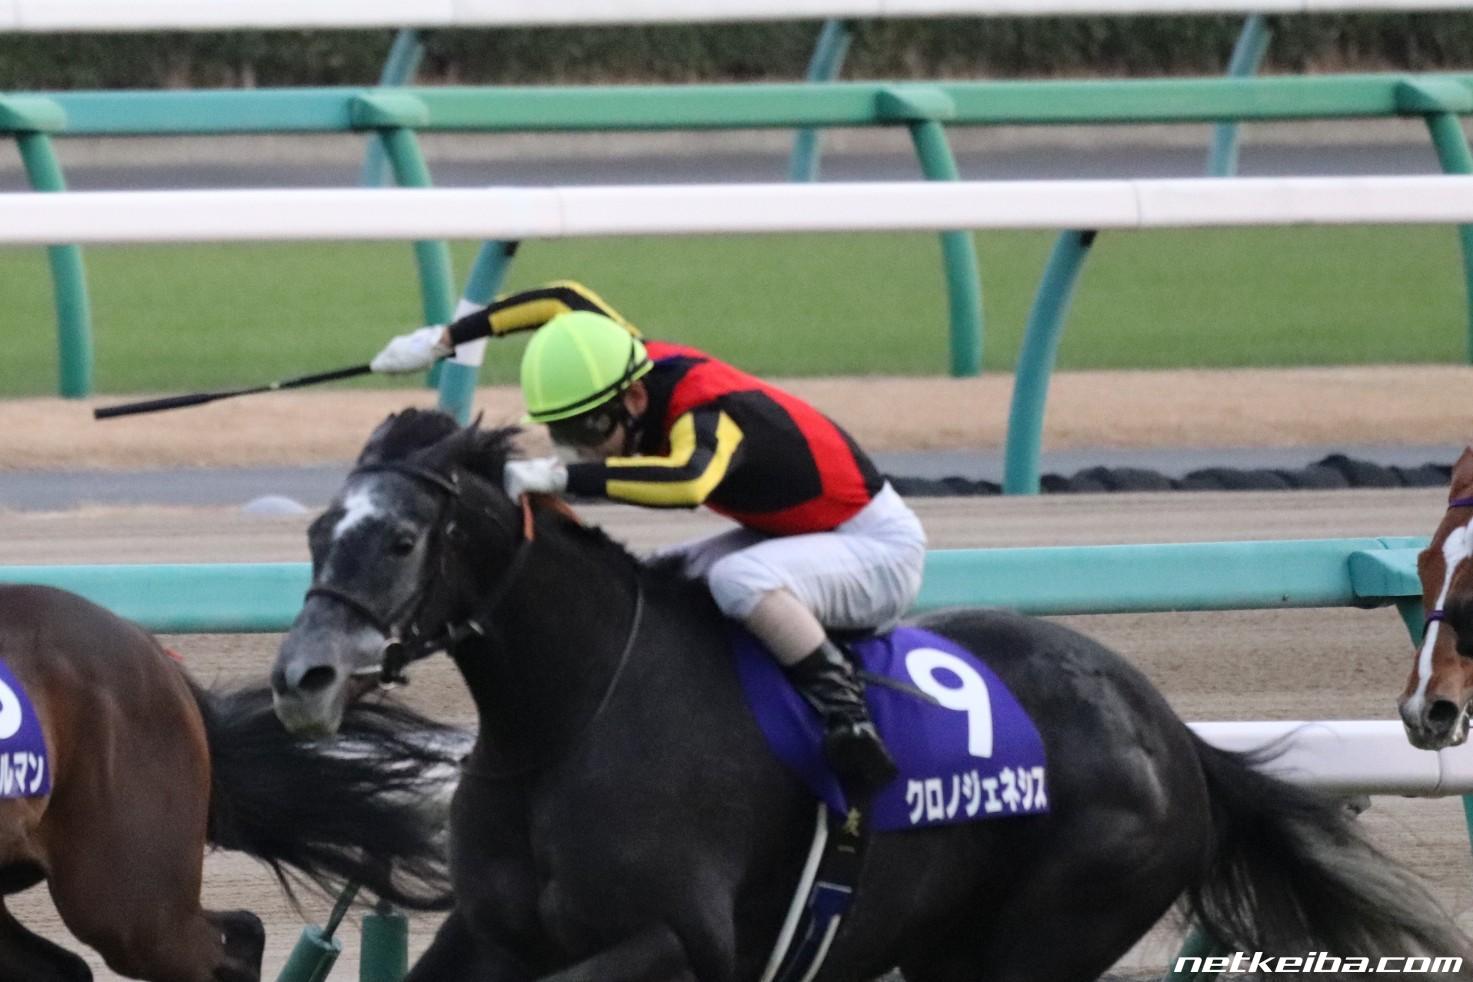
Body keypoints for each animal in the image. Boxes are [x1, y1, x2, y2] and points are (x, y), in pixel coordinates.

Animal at [272, 409, 1472, 982]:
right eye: (319, 530)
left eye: (402, 537)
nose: (301, 678)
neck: (565, 724)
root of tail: (1171, 732)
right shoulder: (493, 933)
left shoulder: (683, 943)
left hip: (1051, 930)